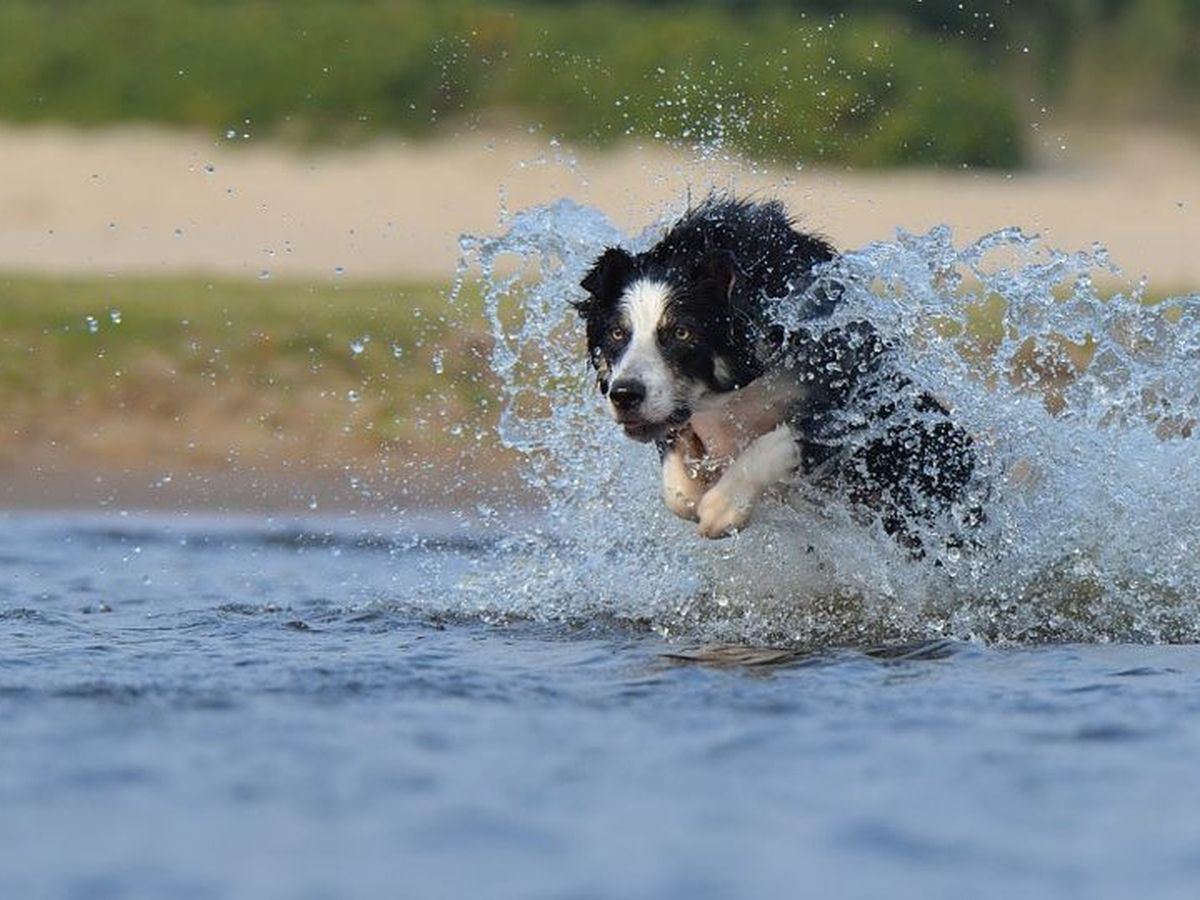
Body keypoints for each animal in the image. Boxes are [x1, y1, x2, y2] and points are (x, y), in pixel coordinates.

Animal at [573, 194, 984, 554]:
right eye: (617, 333)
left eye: (682, 333)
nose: (624, 396)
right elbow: (677, 489)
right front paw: (695, 492)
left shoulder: (850, 394)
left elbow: (781, 440)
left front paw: (723, 507)